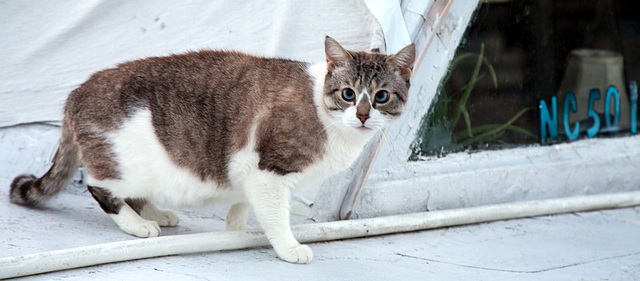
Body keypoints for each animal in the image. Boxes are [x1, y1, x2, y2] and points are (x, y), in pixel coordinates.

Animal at [8, 36, 416, 262]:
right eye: (348, 93)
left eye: (381, 97)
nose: (362, 115)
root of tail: (76, 94)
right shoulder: (269, 170)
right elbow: (276, 217)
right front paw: (288, 247)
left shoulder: (250, 173)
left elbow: (243, 202)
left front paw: (237, 226)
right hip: (126, 163)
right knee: (101, 187)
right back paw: (139, 225)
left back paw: (156, 213)